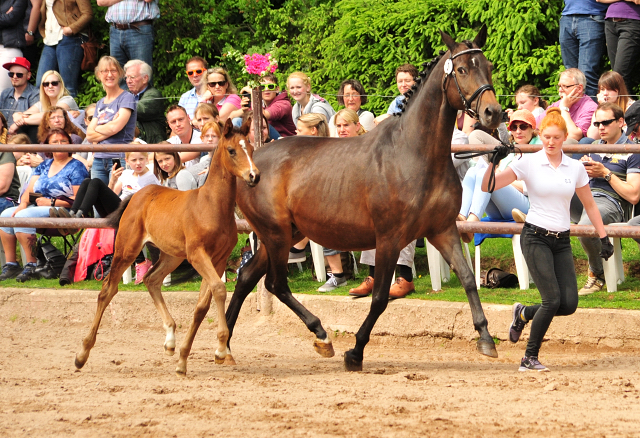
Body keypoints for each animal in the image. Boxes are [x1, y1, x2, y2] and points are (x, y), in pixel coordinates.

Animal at [77, 120, 260, 376]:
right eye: (232, 150)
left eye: (251, 149)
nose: (254, 175)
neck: (212, 206)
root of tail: (136, 196)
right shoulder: (197, 255)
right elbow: (219, 289)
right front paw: (220, 350)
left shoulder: (218, 259)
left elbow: (203, 305)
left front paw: (185, 358)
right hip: (127, 249)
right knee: (107, 291)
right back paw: (82, 354)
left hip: (171, 256)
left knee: (151, 280)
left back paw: (170, 341)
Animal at [228, 27, 502, 372]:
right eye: (463, 69)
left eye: (488, 66)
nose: (493, 112)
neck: (415, 154)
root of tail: (249, 164)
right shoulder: (389, 239)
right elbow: (380, 297)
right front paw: (355, 351)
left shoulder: (442, 230)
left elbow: (467, 279)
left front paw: (486, 340)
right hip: (276, 235)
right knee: (274, 284)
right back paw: (321, 335)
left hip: (283, 234)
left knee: (248, 278)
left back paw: (224, 345)